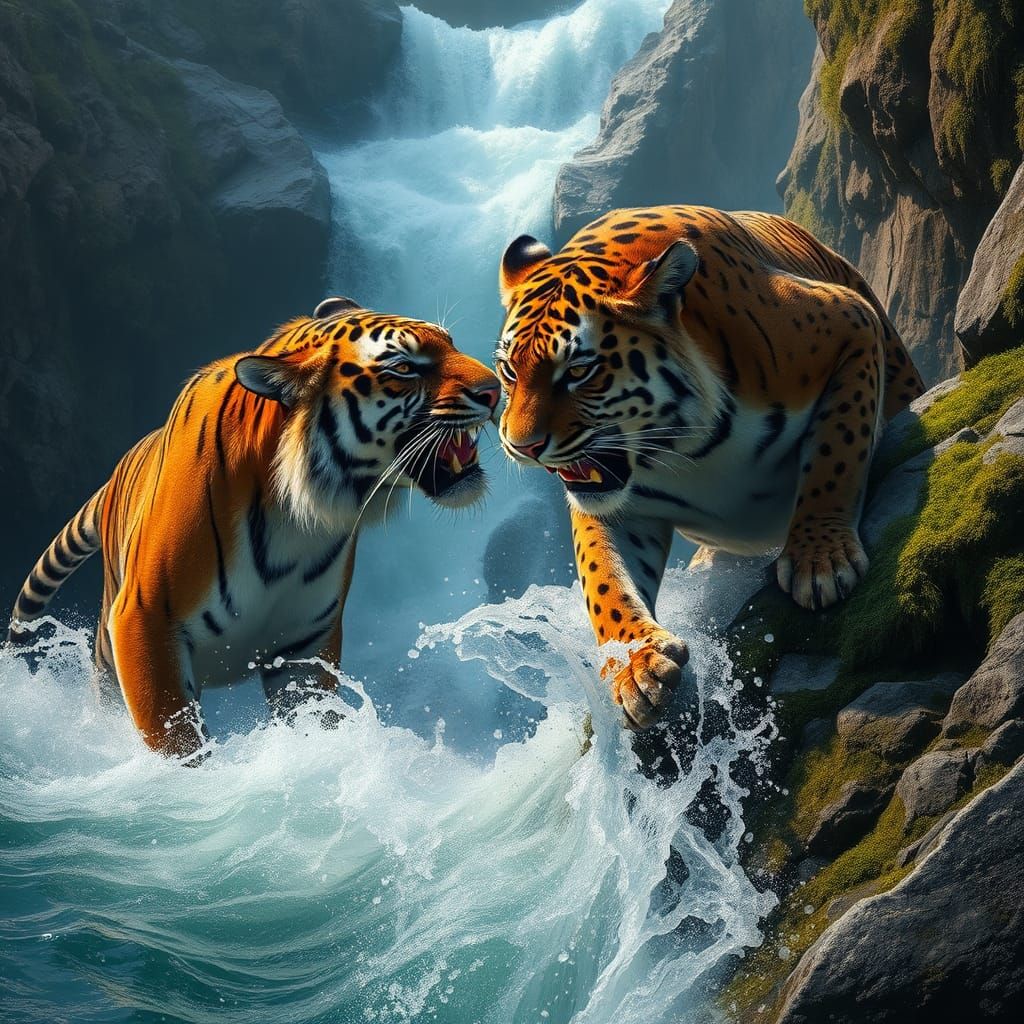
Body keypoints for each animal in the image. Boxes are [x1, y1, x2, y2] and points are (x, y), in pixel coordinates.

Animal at [8, 298, 500, 758]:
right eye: (404, 367)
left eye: (451, 342)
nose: (495, 389)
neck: (299, 520)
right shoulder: (144, 622)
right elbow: (178, 742)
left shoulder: (306, 645)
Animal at [495, 205, 925, 730]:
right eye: (509, 371)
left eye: (579, 371)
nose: (522, 446)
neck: (687, 447)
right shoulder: (615, 506)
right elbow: (604, 584)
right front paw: (637, 669)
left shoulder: (849, 322)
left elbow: (836, 455)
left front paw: (821, 560)